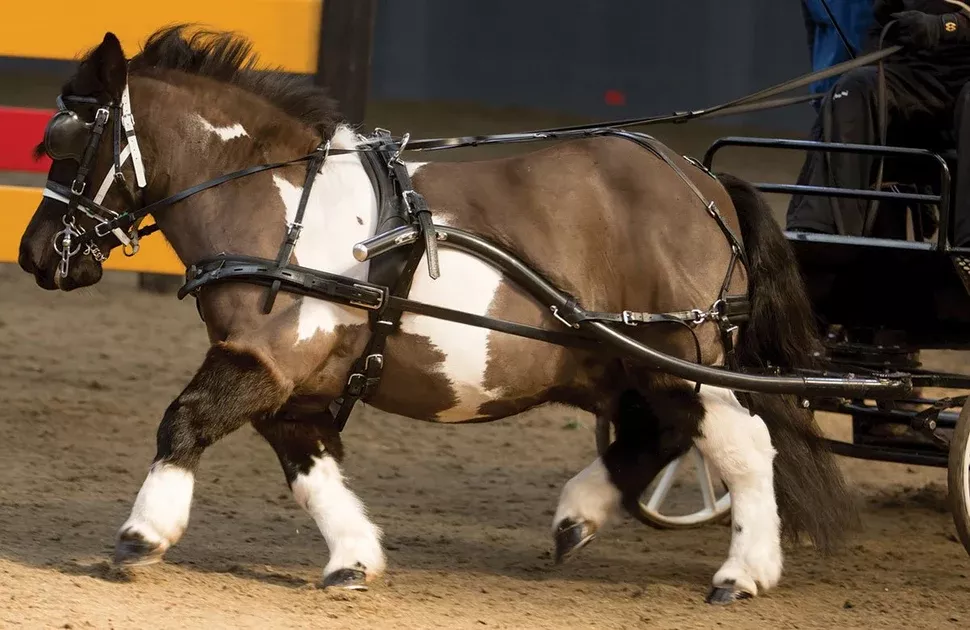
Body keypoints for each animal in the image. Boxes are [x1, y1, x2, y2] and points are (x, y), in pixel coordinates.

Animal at [17, 25, 858, 604]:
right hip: (628, 359)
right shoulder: (292, 384)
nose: (32, 254)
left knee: (742, 446)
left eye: (65, 139)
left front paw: (141, 534)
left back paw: (744, 571)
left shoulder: (262, 361)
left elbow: (183, 421)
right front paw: (354, 556)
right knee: (662, 435)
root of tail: (701, 183)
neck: (275, 204)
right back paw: (578, 516)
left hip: (681, 354)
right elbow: (309, 467)